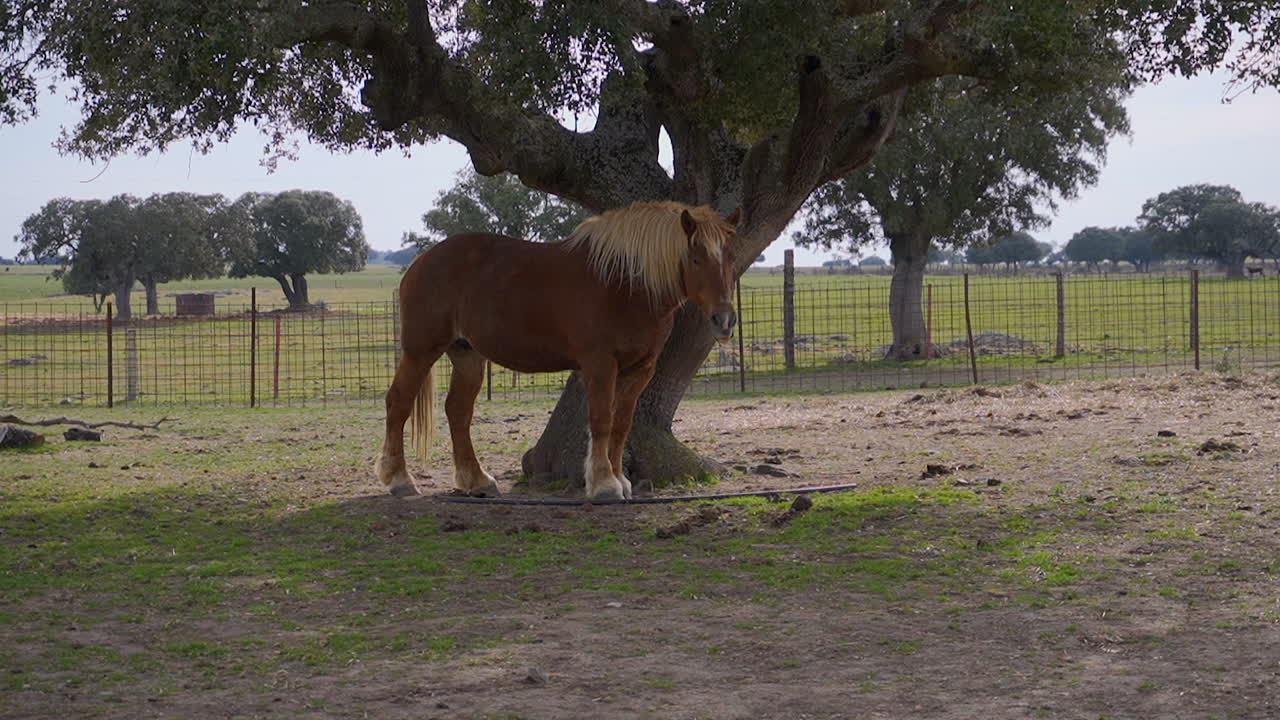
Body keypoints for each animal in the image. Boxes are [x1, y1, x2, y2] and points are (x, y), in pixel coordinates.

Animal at [376, 201, 741, 501]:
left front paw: (621, 480)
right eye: (695, 258)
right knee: (399, 403)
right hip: (421, 350)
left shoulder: (640, 368)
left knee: (458, 411)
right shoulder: (599, 364)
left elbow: (622, 424)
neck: (624, 284)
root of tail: (421, 261)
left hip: (467, 355)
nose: (723, 319)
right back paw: (400, 480)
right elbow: (601, 419)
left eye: (731, 257)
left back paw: (477, 481)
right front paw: (604, 484)